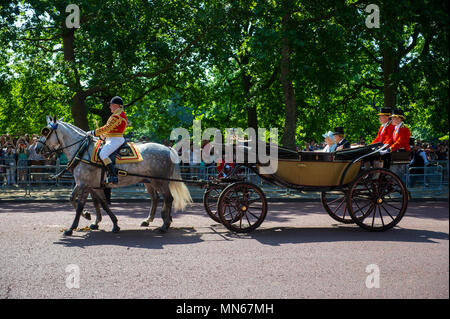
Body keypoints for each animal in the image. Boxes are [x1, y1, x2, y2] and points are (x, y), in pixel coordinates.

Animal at [37, 116, 192, 236]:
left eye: (46, 131)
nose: (37, 149)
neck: (82, 151)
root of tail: (168, 148)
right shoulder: (90, 185)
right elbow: (98, 203)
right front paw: (103, 221)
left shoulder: (84, 184)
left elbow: (81, 204)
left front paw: (72, 227)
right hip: (150, 182)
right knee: (157, 199)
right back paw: (156, 220)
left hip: (160, 181)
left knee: (168, 198)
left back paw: (164, 225)